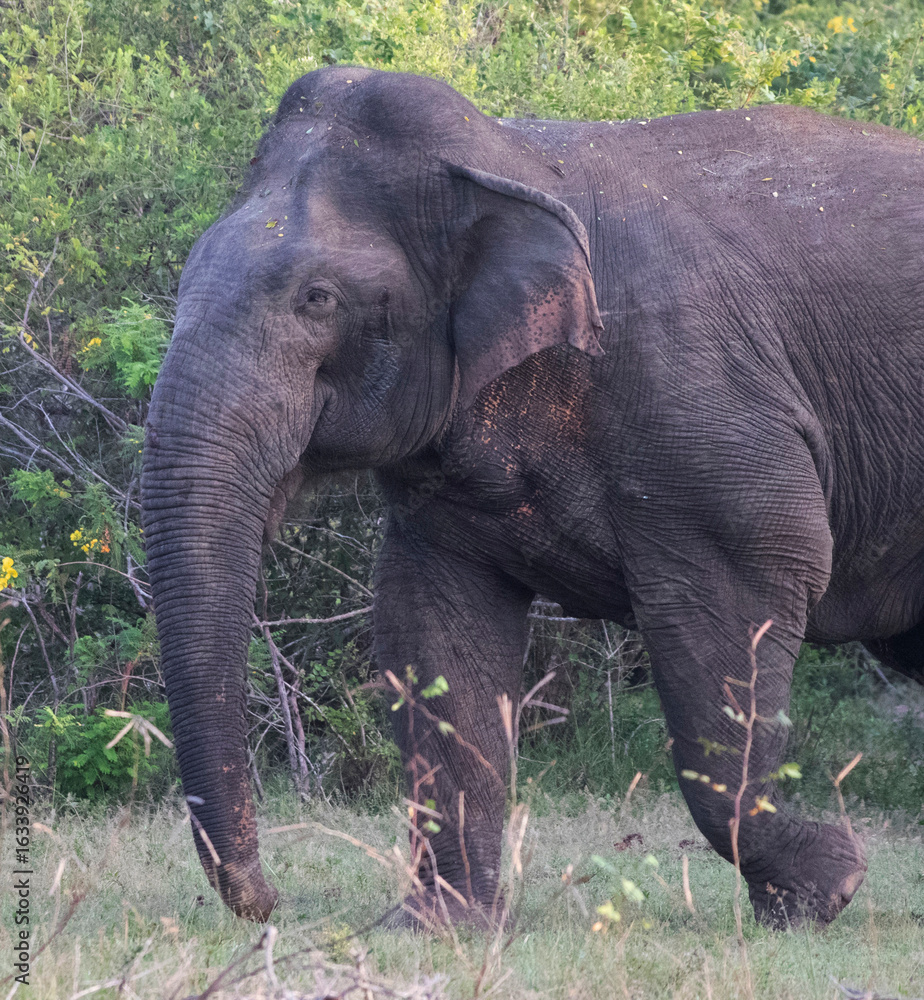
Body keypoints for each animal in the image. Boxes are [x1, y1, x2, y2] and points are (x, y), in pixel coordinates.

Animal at [141, 65, 924, 929]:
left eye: (317, 298)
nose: (268, 899)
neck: (508, 156)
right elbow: (432, 626)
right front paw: (438, 928)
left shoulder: (704, 407)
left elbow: (739, 598)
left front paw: (823, 889)